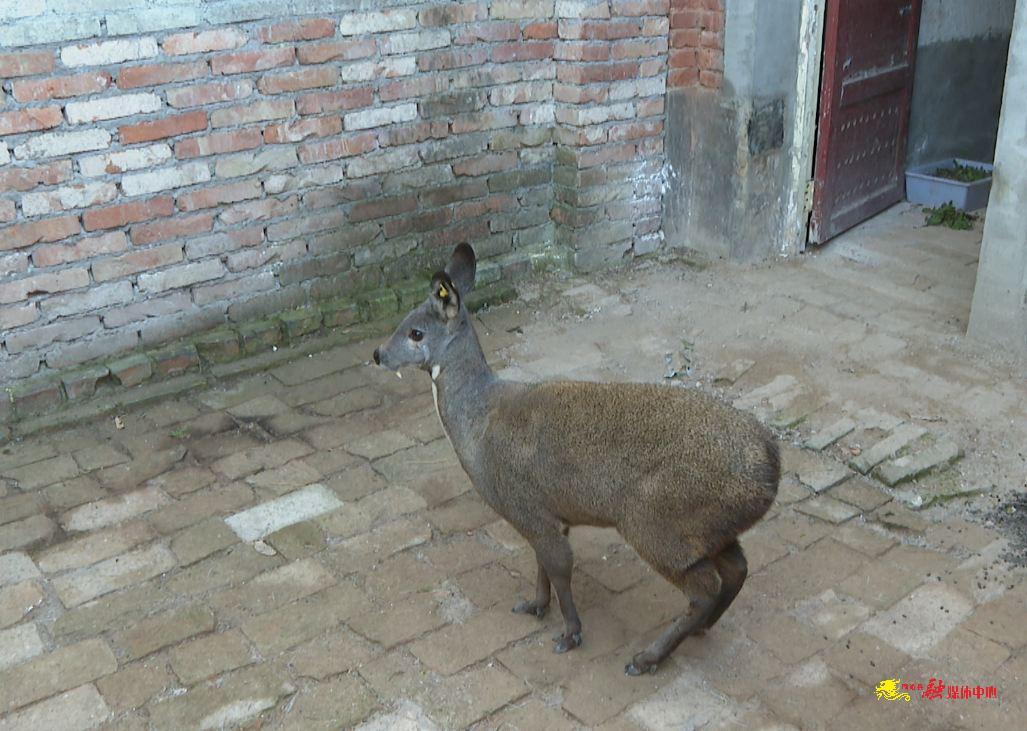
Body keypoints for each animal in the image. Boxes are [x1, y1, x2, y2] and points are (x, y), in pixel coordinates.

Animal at [373, 244, 780, 673]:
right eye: (403, 322)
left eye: (416, 332)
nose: (378, 353)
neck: (478, 427)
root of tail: (773, 465)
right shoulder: (548, 514)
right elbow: (541, 565)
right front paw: (535, 605)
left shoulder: (527, 506)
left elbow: (559, 568)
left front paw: (569, 634)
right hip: (708, 530)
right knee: (737, 569)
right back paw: (700, 630)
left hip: (656, 522)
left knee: (704, 589)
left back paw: (646, 657)